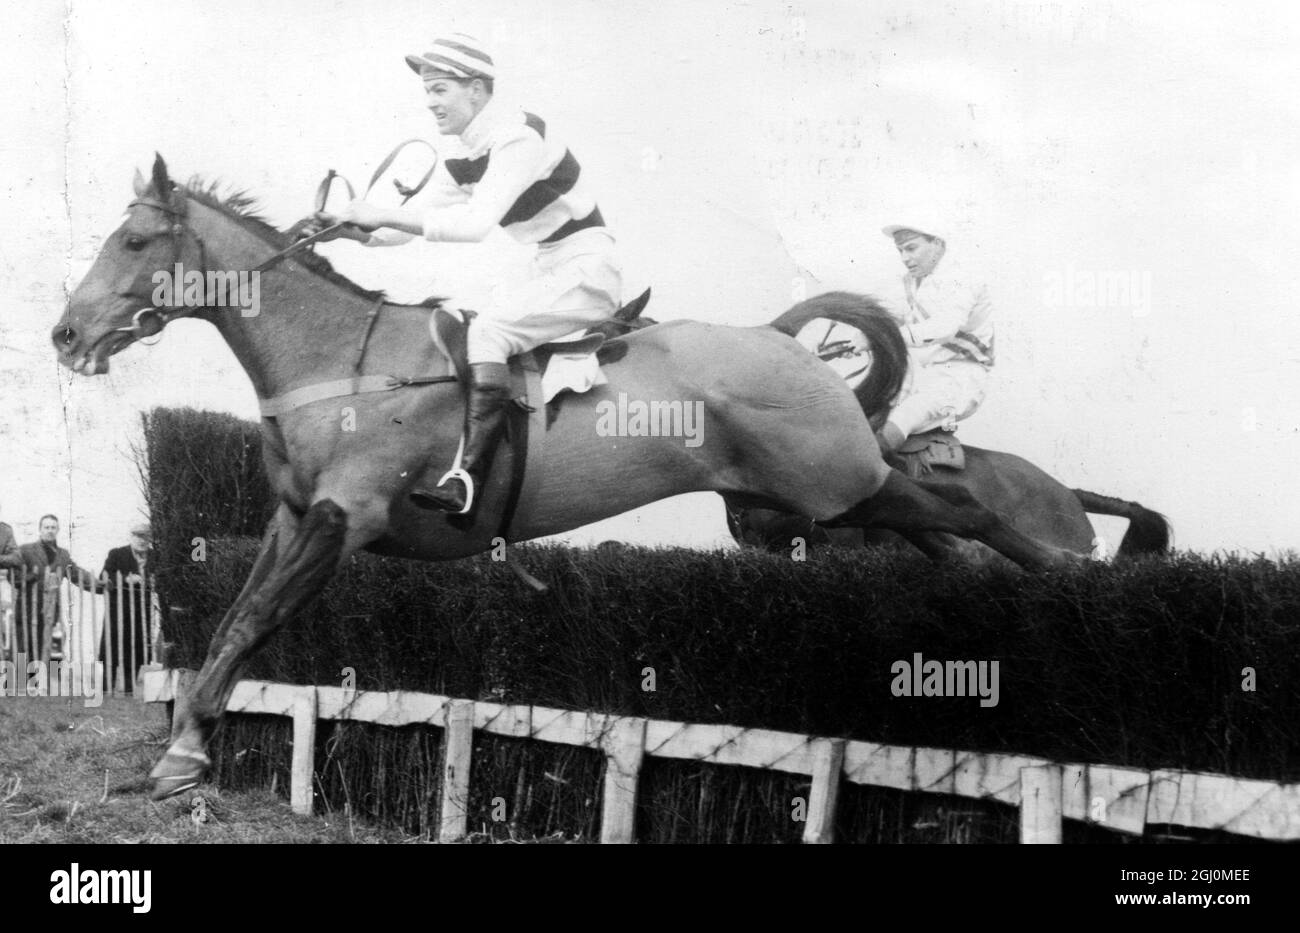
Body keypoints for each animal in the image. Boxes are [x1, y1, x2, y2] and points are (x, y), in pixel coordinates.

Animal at [53, 157, 1086, 800]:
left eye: (135, 244)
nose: (65, 333)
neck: (340, 359)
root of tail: (783, 338)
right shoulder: (293, 517)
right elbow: (233, 615)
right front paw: (188, 738)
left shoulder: (342, 521)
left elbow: (254, 622)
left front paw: (184, 754)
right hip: (818, 493)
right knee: (945, 535)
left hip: (838, 482)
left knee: (969, 514)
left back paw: (1069, 576)